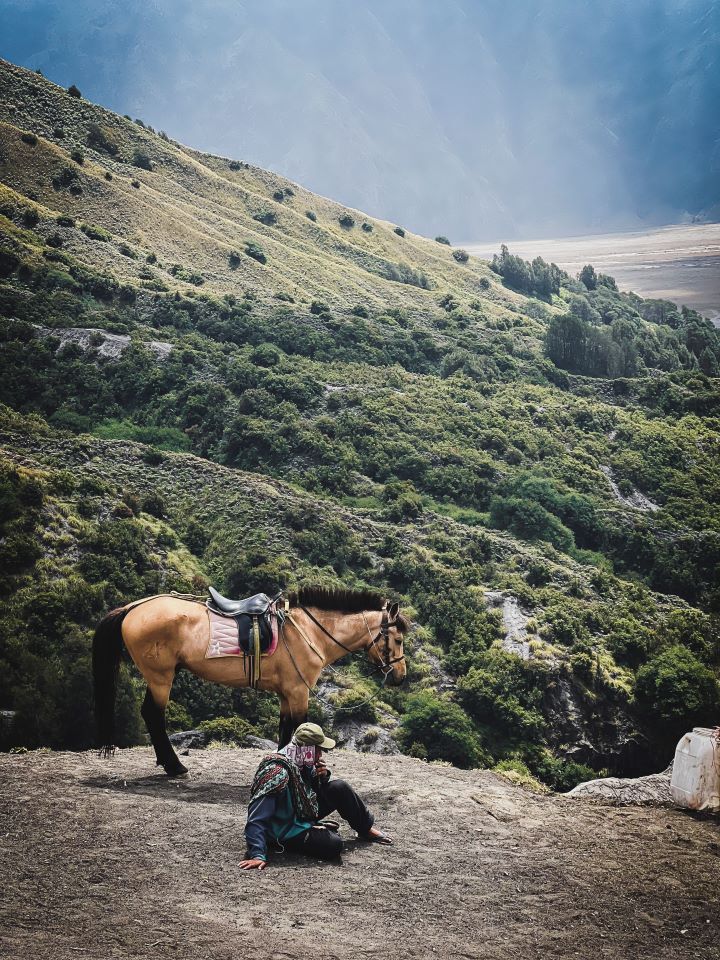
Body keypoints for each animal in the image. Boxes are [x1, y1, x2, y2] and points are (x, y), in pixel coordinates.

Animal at [92, 585, 409, 776]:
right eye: (397, 639)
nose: (400, 676)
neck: (307, 631)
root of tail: (134, 608)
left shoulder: (286, 694)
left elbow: (286, 730)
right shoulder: (298, 692)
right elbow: (298, 728)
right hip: (161, 677)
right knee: (153, 715)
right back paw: (174, 766)